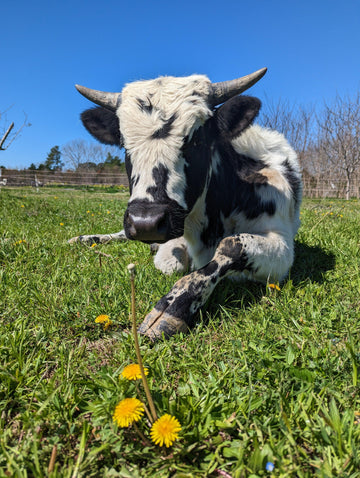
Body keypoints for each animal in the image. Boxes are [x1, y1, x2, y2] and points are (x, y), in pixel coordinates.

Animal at [69, 69, 300, 342]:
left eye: (196, 140)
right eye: (124, 145)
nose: (146, 223)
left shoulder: (283, 247)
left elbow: (231, 247)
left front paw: (173, 307)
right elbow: (174, 263)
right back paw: (83, 239)